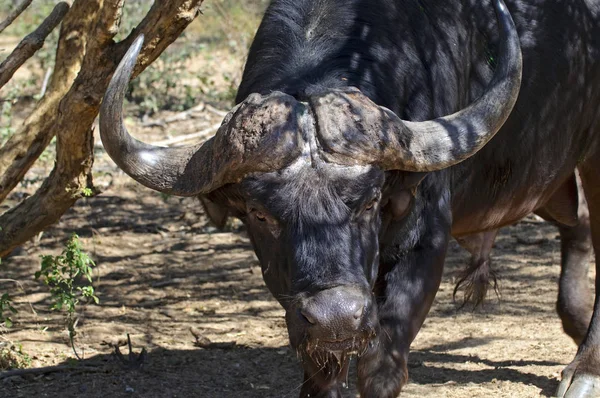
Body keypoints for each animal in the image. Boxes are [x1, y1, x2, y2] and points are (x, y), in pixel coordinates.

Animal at [99, 0, 600, 396]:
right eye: (260, 214)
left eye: (370, 201)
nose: (337, 316)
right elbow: (320, 369)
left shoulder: (424, 242)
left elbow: (379, 365)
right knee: (576, 224)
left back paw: (584, 370)